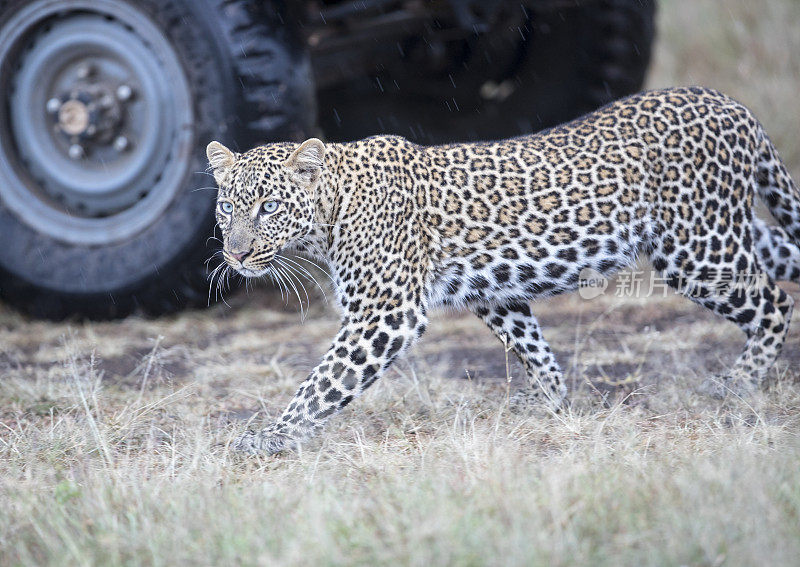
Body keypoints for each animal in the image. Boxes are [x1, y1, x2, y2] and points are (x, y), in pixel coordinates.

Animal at [206, 86, 800, 454]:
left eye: (269, 207)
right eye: (228, 207)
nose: (235, 255)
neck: (329, 217)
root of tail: (730, 103)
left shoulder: (385, 315)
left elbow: (323, 381)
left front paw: (274, 436)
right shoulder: (493, 294)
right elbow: (534, 350)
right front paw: (551, 404)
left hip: (698, 247)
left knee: (775, 302)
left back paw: (738, 384)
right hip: (728, 230)